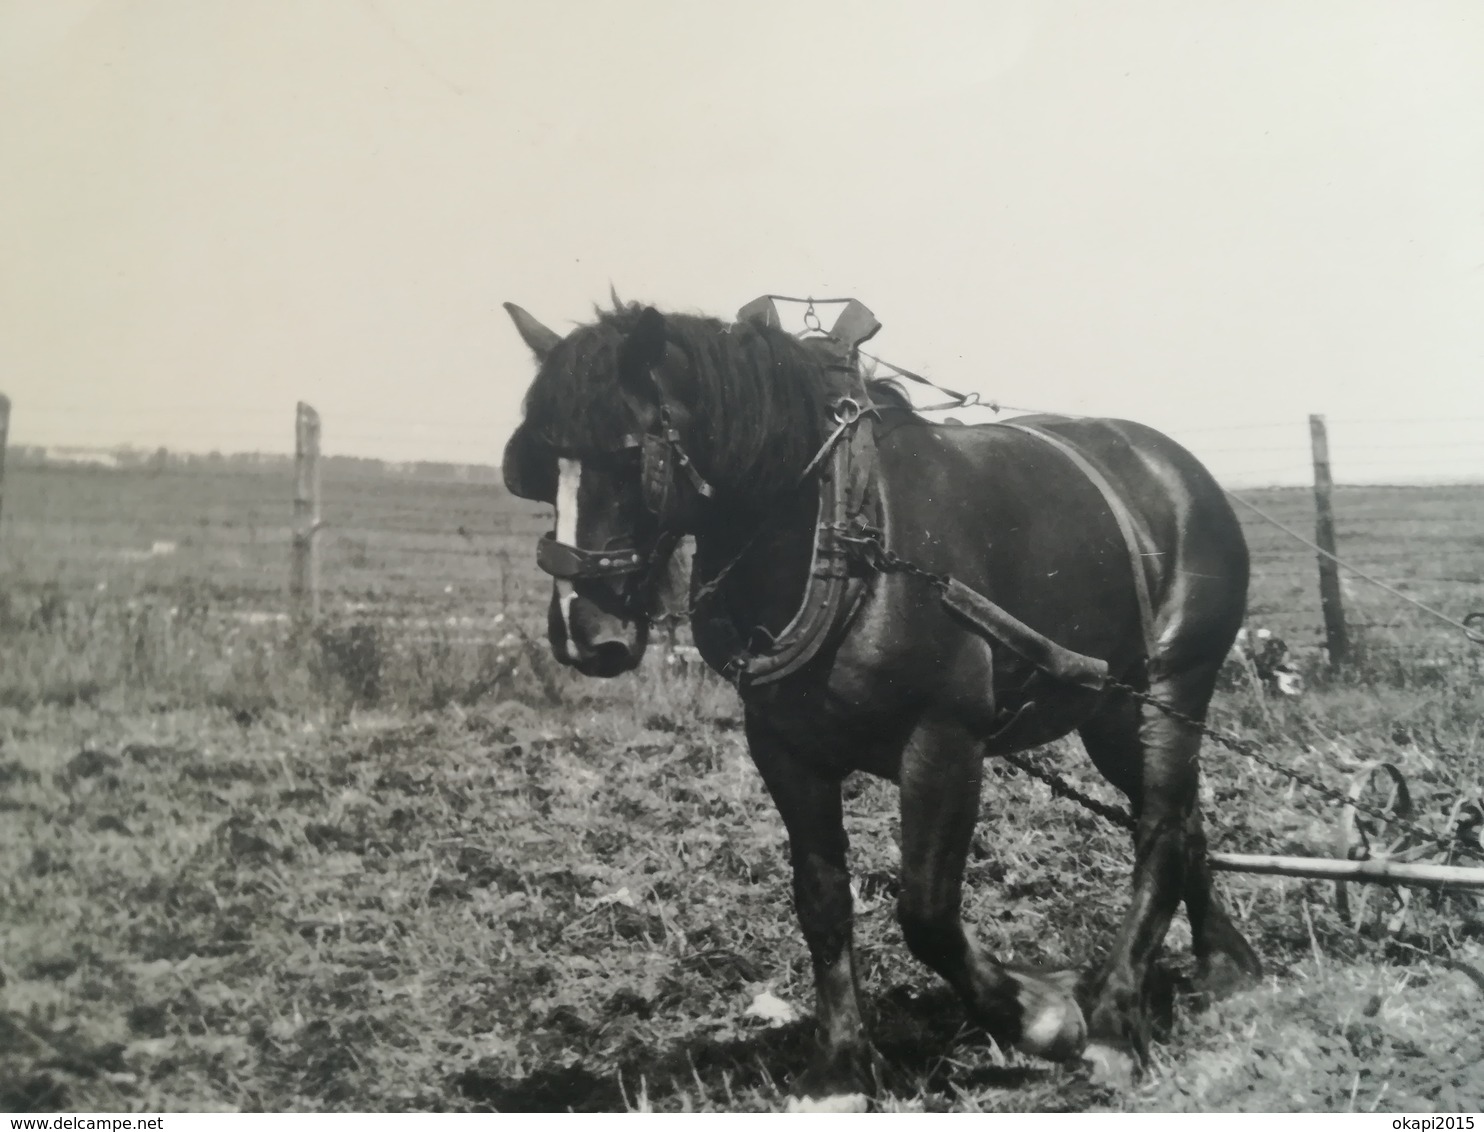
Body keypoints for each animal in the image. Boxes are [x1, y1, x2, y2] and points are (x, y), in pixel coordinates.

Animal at [501, 298, 1264, 1109]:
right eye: (536, 469)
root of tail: (1178, 467)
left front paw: (1043, 1017)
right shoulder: (784, 749)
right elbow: (822, 902)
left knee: (1160, 832)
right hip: (1113, 712)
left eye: (627, 460)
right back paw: (1225, 967)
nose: (585, 634)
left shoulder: (944, 739)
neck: (840, 529)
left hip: (1172, 687)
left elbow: (925, 910)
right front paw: (839, 1066)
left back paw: (1117, 1019)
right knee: (1182, 821)